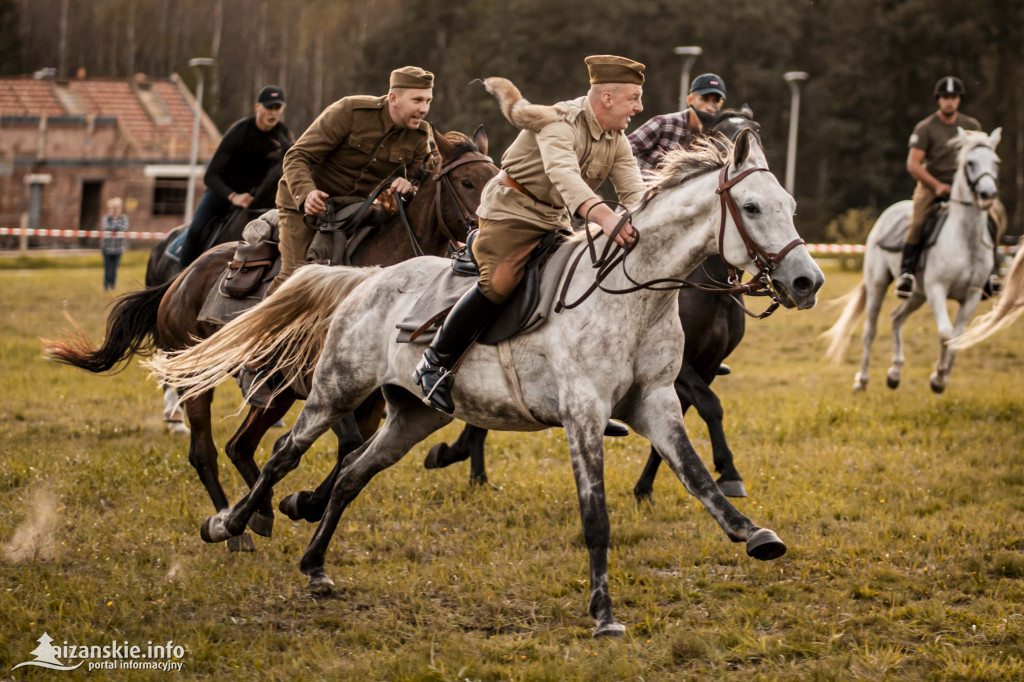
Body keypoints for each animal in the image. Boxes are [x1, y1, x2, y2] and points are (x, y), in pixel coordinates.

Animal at [44, 127, 495, 548]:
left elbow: (352, 452)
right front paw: (300, 503)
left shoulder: (371, 402)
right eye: (467, 182)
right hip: (201, 381)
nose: (487, 242)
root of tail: (179, 280)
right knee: (205, 451)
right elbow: (344, 444)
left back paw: (257, 512)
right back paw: (232, 525)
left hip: (275, 392)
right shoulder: (328, 389)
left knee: (240, 447)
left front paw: (301, 502)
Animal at [149, 130, 823, 634]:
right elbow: (596, 515)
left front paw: (755, 534)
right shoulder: (584, 413)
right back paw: (232, 524)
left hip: (412, 415)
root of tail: (365, 279)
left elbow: (699, 478)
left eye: (790, 206)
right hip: (334, 391)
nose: (807, 281)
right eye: (752, 208)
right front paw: (603, 613)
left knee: (350, 475)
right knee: (281, 454)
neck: (635, 294)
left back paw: (314, 563)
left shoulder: (656, 403)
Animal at [823, 128, 999, 393]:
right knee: (870, 331)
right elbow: (946, 334)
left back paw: (894, 373)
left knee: (896, 317)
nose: (988, 195)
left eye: (995, 162)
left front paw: (941, 378)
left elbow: (958, 337)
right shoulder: (937, 289)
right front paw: (938, 377)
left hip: (918, 294)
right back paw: (862, 380)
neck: (965, 239)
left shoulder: (972, 295)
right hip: (879, 284)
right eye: (970, 162)